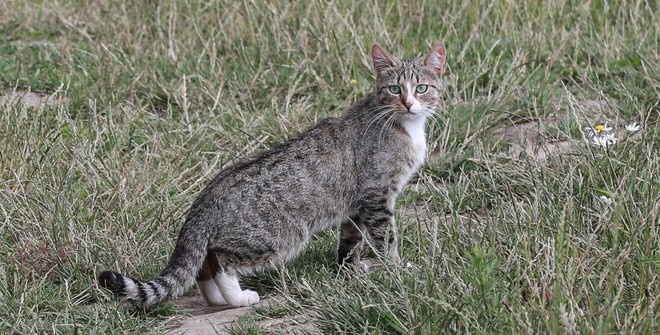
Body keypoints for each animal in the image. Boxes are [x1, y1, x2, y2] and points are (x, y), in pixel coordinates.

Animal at [99, 43, 448, 308]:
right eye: (394, 89)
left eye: (421, 88)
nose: (409, 103)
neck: (405, 126)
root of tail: (207, 196)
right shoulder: (376, 195)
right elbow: (387, 238)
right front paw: (397, 269)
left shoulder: (357, 206)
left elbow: (350, 241)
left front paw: (349, 271)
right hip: (279, 235)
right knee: (220, 258)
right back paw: (238, 297)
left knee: (203, 263)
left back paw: (218, 299)